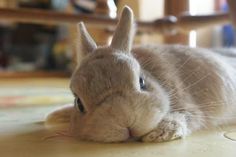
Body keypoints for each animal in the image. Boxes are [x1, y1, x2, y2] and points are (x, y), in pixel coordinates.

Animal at [45, 6, 236, 143]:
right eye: (79, 104)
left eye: (142, 82)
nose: (126, 123)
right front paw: (54, 116)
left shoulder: (192, 107)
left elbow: (186, 117)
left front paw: (159, 134)